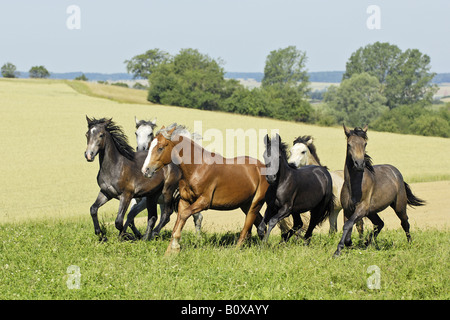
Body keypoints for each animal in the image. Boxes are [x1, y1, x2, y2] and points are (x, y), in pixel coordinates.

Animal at [142, 124, 268, 254]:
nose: (145, 170)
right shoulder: (184, 200)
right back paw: (262, 248)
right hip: (246, 205)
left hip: (255, 204)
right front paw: (170, 251)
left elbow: (184, 215)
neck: (197, 168)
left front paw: (175, 246)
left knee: (246, 230)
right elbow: (179, 220)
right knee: (261, 226)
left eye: (160, 148)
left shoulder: (204, 202)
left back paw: (235, 251)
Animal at [334, 125, 426, 258]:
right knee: (380, 223)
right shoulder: (347, 210)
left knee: (405, 223)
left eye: (365, 144)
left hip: (399, 206)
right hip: (372, 212)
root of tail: (396, 172)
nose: (359, 164)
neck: (354, 185)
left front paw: (337, 251)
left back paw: (410, 244)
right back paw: (368, 243)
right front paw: (350, 244)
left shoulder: (361, 208)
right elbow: (349, 226)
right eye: (349, 144)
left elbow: (348, 225)